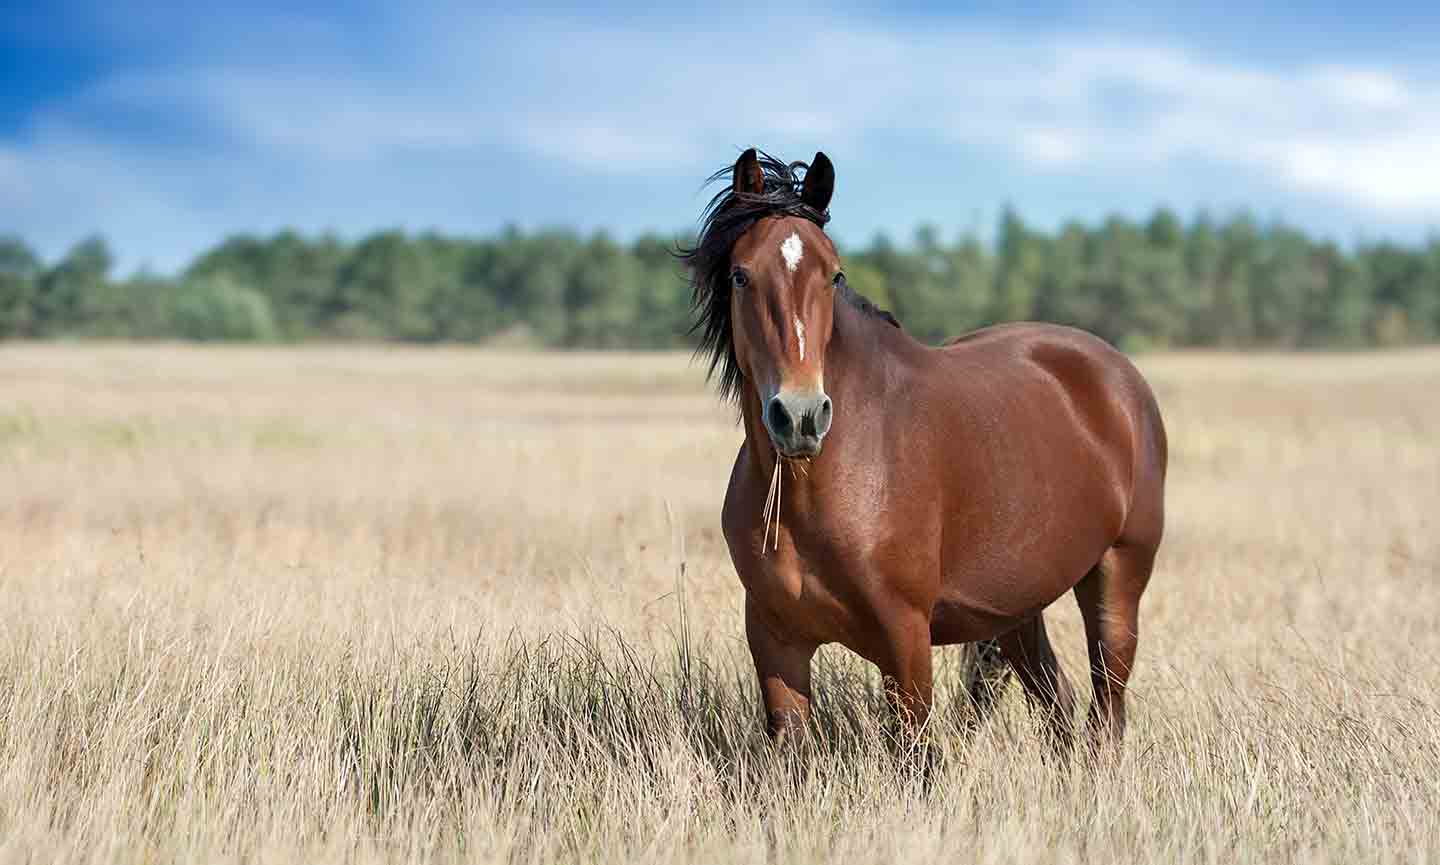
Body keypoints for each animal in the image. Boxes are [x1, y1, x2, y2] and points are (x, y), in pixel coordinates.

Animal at [682, 149, 1167, 751]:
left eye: (834, 274)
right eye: (741, 275)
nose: (800, 417)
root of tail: (1119, 377)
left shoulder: (905, 638)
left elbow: (916, 757)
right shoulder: (776, 640)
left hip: (1117, 579)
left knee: (1106, 711)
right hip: (1018, 608)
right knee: (1058, 704)